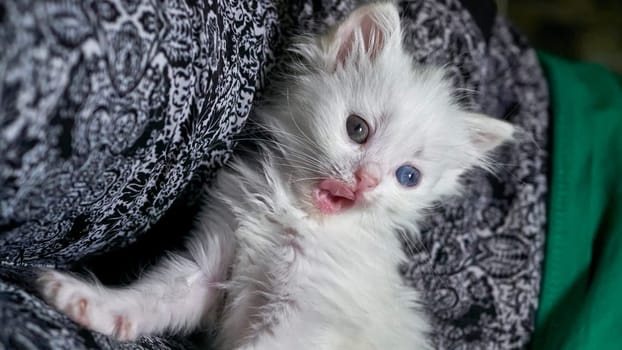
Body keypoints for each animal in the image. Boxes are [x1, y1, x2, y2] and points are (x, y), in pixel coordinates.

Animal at [36, 3, 516, 350]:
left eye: (408, 176)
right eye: (357, 129)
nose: (366, 180)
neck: (292, 215)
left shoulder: (304, 319)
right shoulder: (207, 268)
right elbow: (151, 299)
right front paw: (88, 302)